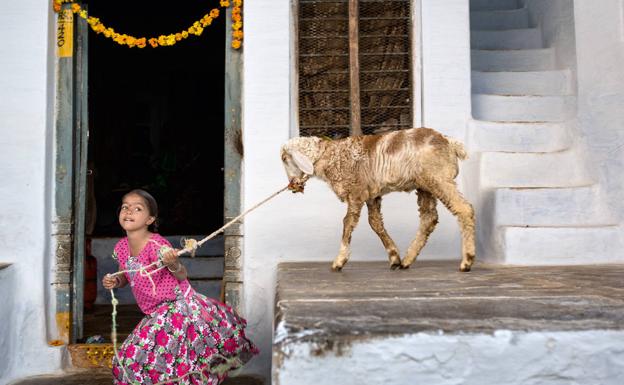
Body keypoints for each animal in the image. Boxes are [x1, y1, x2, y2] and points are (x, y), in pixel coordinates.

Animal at [280, 127, 476, 272]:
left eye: (284, 159)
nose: (292, 185)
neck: (332, 156)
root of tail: (450, 142)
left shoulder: (356, 192)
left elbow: (347, 223)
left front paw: (339, 260)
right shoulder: (371, 195)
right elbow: (375, 223)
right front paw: (394, 257)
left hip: (439, 178)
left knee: (463, 208)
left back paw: (467, 261)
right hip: (425, 184)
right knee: (429, 218)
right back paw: (407, 260)